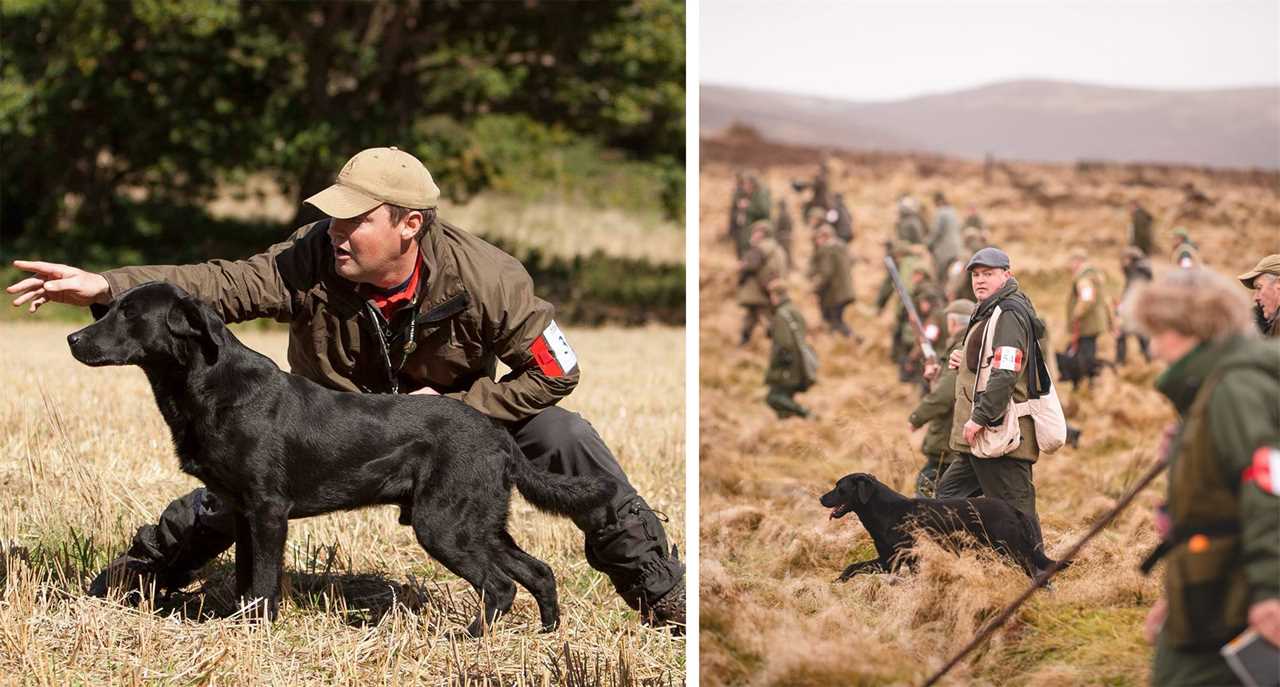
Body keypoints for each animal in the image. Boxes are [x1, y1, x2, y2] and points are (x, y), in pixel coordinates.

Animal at [64, 281, 614, 634]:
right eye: (109, 309)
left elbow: (263, 582)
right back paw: (546, 632)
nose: (72, 338)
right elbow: (245, 578)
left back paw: (466, 638)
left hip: (444, 524)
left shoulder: (268, 509)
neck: (207, 387)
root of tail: (498, 437)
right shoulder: (241, 510)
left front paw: (257, 633)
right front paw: (238, 623)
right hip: (479, 523)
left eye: (130, 314)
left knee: (500, 586)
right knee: (538, 571)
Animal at [819, 470, 1059, 578]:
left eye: (840, 488)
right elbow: (853, 566)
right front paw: (839, 580)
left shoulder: (906, 557)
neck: (884, 510)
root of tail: (1013, 509)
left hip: (1011, 551)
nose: (821, 498)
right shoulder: (888, 561)